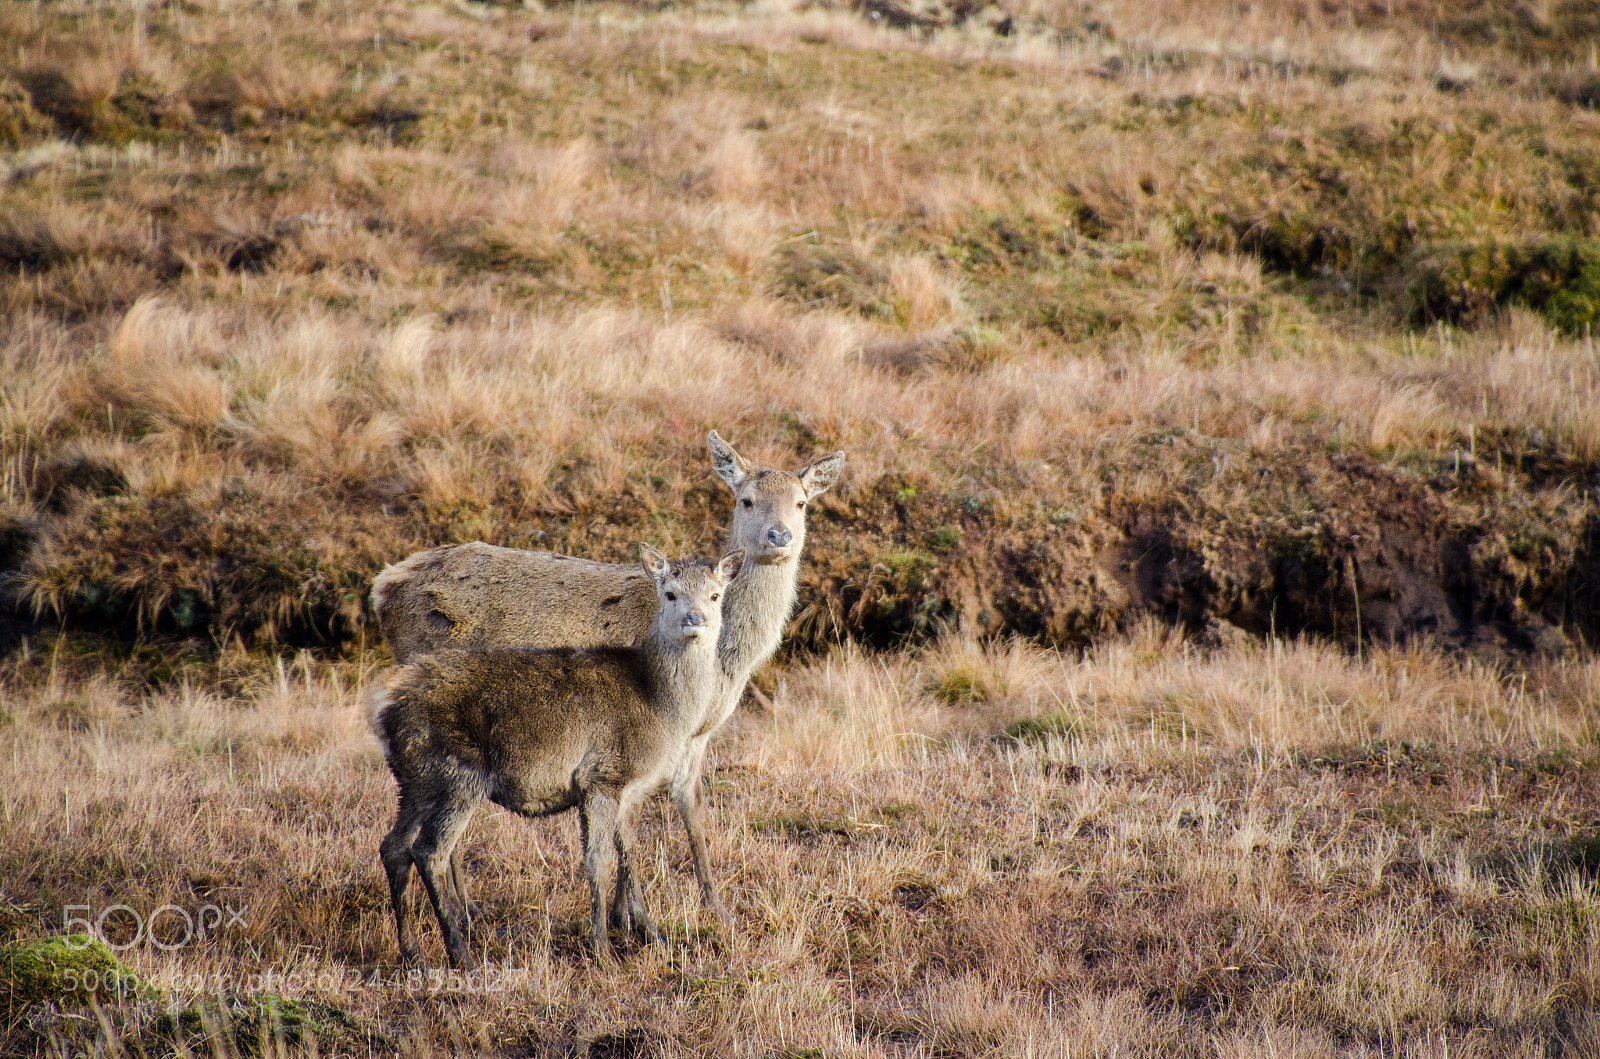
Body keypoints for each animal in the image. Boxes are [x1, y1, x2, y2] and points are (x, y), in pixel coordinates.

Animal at [371, 431, 851, 927]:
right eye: (747, 499)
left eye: (801, 502)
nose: (780, 535)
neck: (725, 668)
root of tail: (381, 587)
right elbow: (633, 820)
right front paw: (634, 917)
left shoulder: (696, 734)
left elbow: (689, 806)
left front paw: (715, 908)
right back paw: (467, 912)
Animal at [371, 547, 745, 972]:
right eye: (670, 593)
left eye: (715, 595)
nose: (695, 619)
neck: (660, 705)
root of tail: (380, 706)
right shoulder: (601, 777)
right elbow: (598, 860)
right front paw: (603, 950)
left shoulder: (631, 788)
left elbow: (630, 853)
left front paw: (650, 932)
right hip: (459, 774)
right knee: (430, 851)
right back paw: (462, 954)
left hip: (416, 779)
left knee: (394, 847)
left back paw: (412, 951)